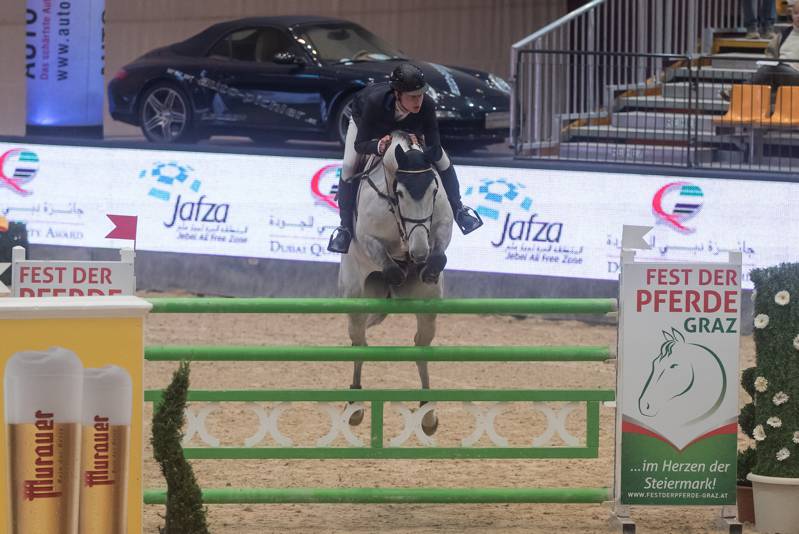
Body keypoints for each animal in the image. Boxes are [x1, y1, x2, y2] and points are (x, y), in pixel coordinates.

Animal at [338, 132, 454, 438]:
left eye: (434, 191)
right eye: (400, 193)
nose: (419, 253)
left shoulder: (441, 223)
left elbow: (441, 246)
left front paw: (428, 267)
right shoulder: (368, 236)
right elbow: (384, 258)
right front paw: (398, 273)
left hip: (427, 310)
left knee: (420, 346)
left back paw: (428, 414)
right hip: (355, 297)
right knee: (359, 341)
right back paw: (355, 406)